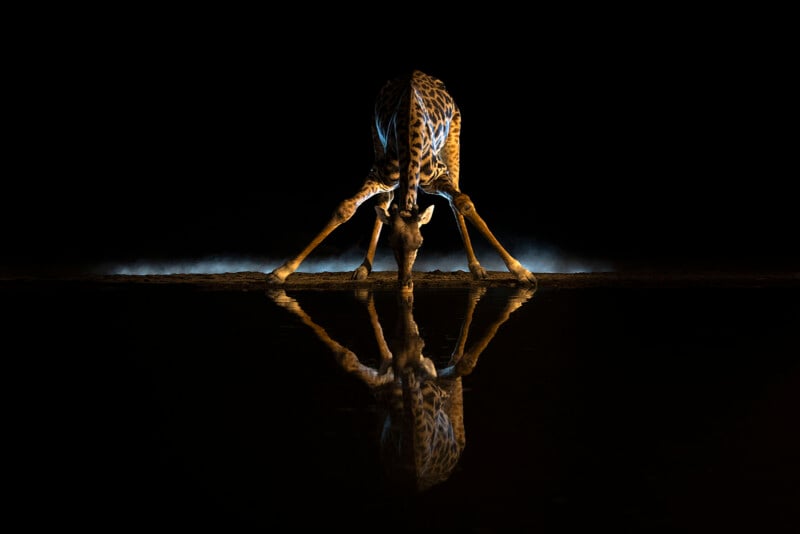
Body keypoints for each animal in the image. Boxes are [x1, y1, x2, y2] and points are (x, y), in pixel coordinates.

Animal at [266, 70, 537, 289]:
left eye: (420, 243)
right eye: (391, 243)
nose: (405, 282)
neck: (409, 133)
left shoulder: (438, 175)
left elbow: (463, 203)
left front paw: (522, 272)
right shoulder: (379, 174)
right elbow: (346, 208)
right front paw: (281, 272)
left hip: (453, 141)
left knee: (455, 200)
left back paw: (477, 268)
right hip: (377, 143)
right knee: (384, 201)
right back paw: (363, 268)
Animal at [266, 285, 536, 492]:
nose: (417, 349)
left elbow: (463, 362)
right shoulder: (384, 390)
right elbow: (350, 359)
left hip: (454, 403)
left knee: (458, 362)